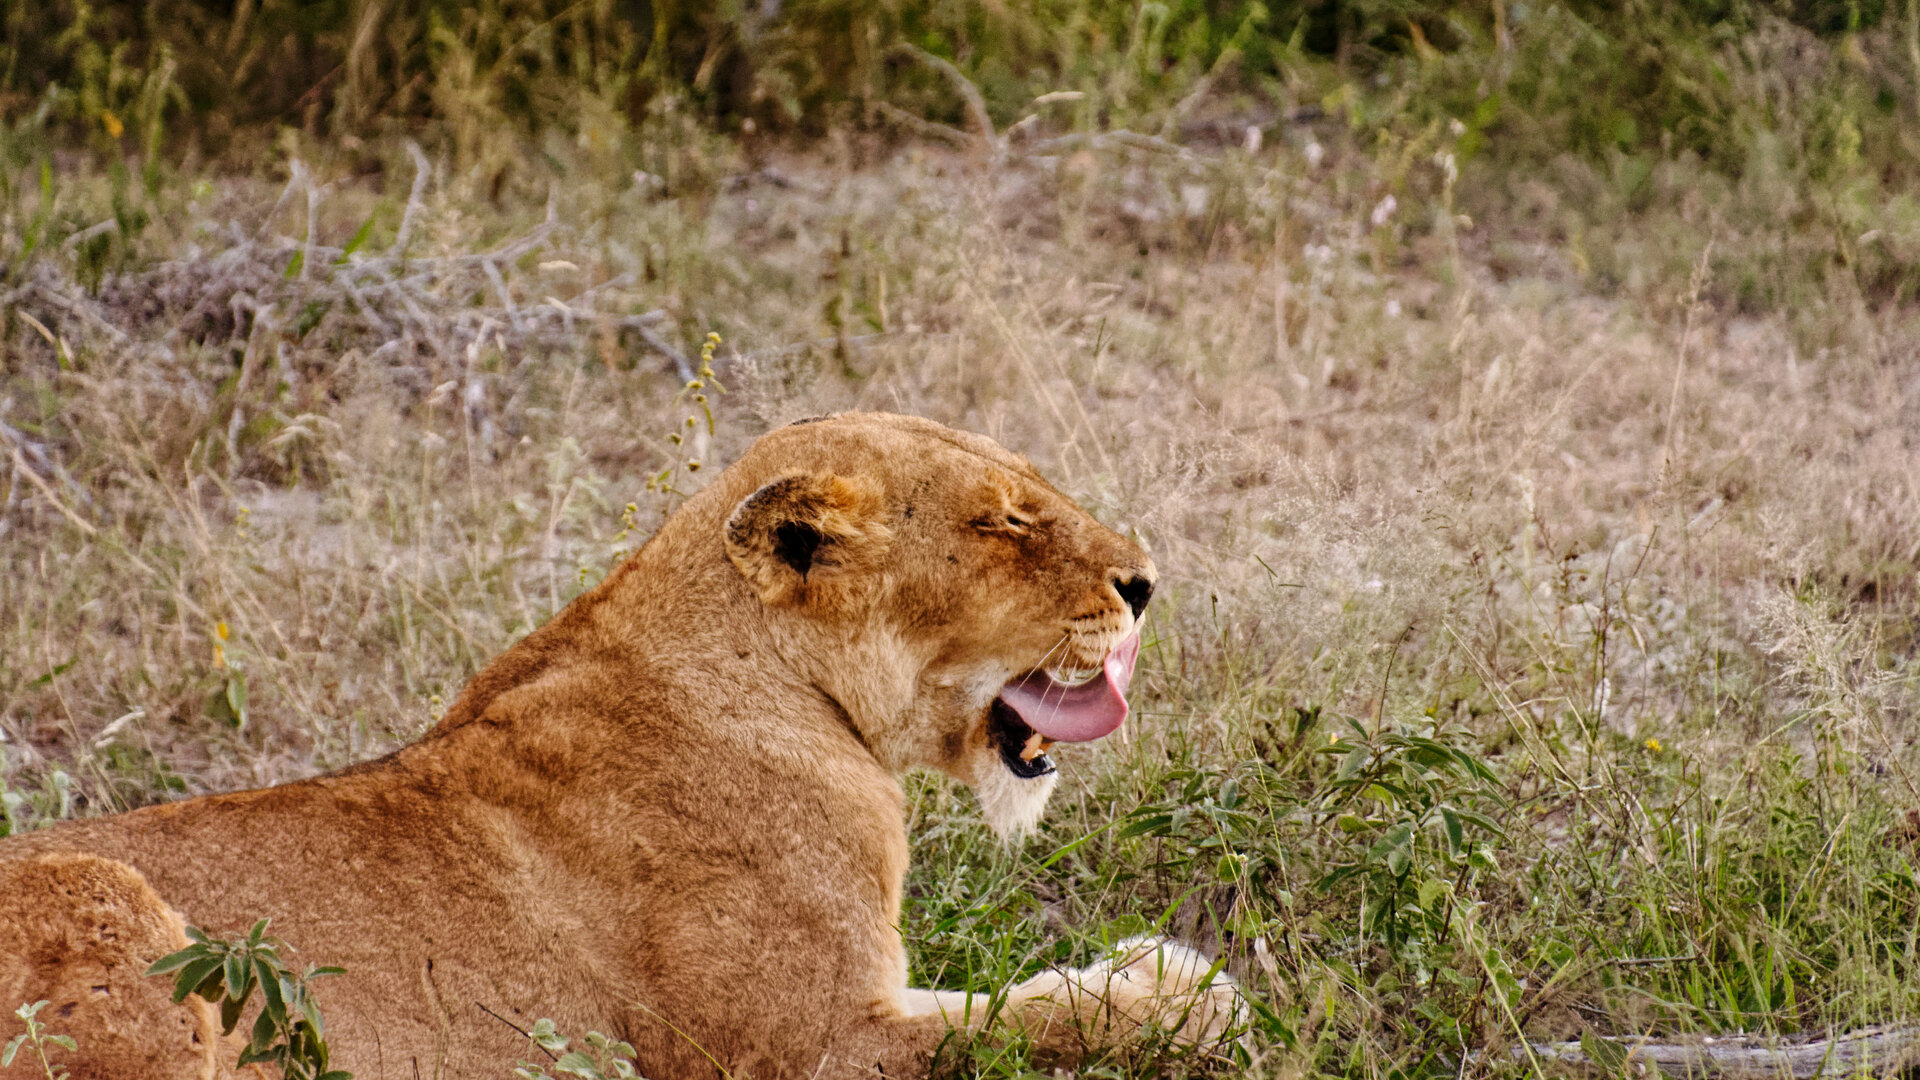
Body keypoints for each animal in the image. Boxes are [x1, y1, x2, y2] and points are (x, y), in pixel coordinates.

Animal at [0, 412, 1239, 1079]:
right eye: (1003, 522)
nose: (1145, 583)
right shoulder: (808, 1047)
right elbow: (1028, 1020)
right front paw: (1178, 985)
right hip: (111, 898)